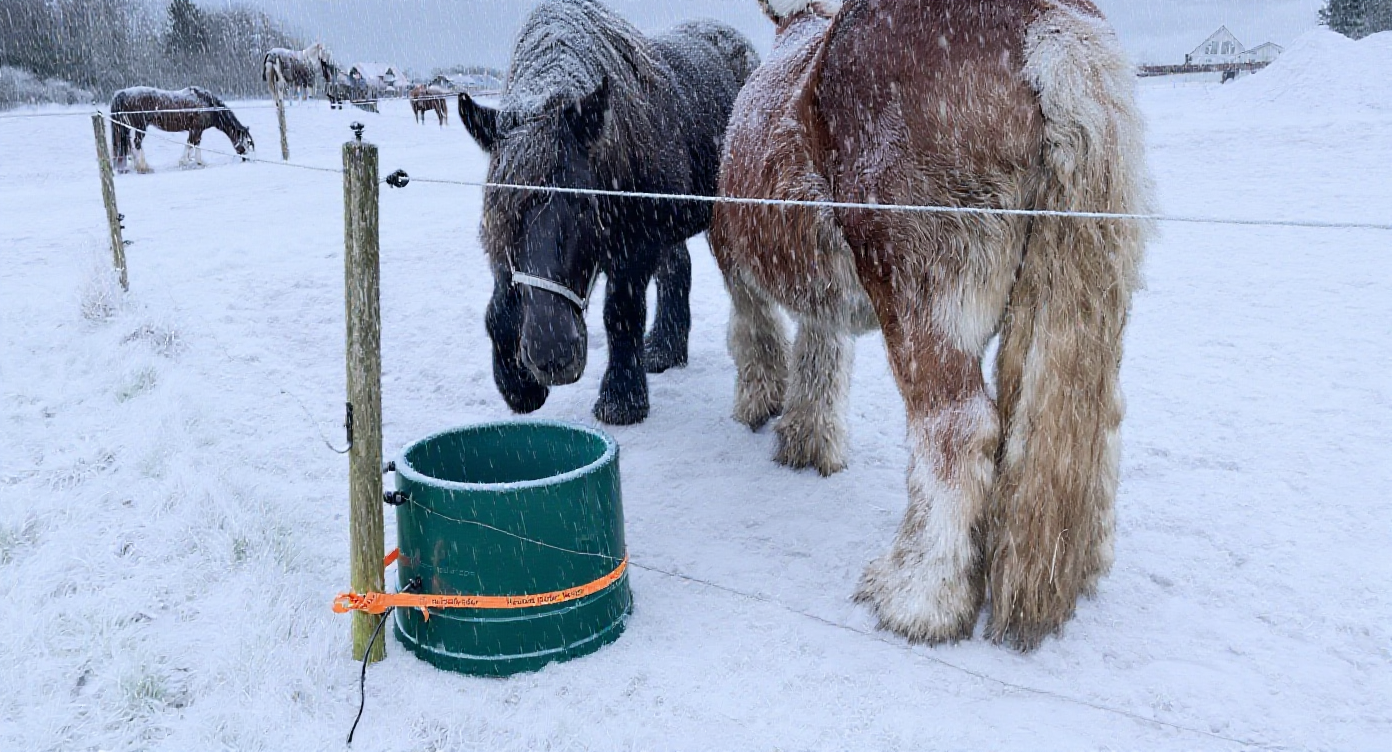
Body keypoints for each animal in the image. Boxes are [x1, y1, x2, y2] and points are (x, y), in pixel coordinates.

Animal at [109, 86, 255, 174]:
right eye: (247, 142)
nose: (247, 159)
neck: (208, 104)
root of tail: (122, 94)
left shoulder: (196, 130)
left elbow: (196, 145)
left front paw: (199, 162)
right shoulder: (196, 129)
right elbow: (190, 144)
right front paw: (184, 162)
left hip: (126, 127)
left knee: (128, 145)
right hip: (140, 126)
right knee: (137, 144)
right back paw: (144, 167)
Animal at [458, 0, 759, 425]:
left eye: (585, 202)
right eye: (498, 209)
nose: (552, 353)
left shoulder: (635, 247)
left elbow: (621, 313)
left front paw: (621, 400)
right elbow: (499, 309)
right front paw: (518, 387)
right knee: (676, 269)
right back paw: (663, 351)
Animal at [712, 0, 1152, 650]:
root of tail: (1045, 20)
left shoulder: (735, 267)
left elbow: (755, 339)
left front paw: (762, 408)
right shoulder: (823, 298)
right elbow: (821, 358)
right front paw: (808, 441)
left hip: (924, 303)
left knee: (957, 430)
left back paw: (920, 599)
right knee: (1086, 419)